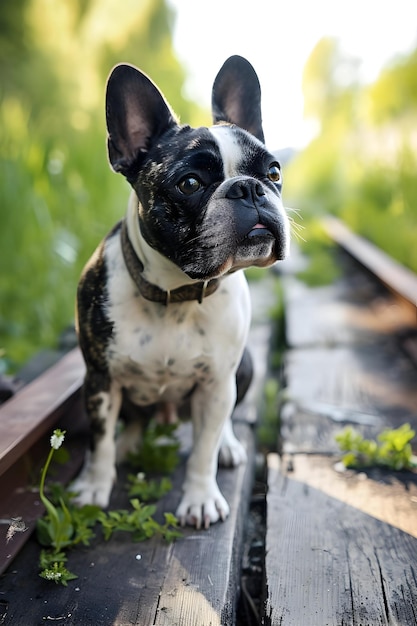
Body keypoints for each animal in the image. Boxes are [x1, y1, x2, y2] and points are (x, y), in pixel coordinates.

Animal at [71, 53, 290, 528]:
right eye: (189, 183)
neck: (178, 294)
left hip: (241, 370)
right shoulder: (100, 380)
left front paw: (200, 498)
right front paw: (93, 487)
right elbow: (99, 441)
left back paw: (229, 445)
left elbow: (203, 449)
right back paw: (130, 443)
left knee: (222, 423)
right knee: (132, 422)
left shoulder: (216, 383)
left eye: (273, 172)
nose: (249, 188)